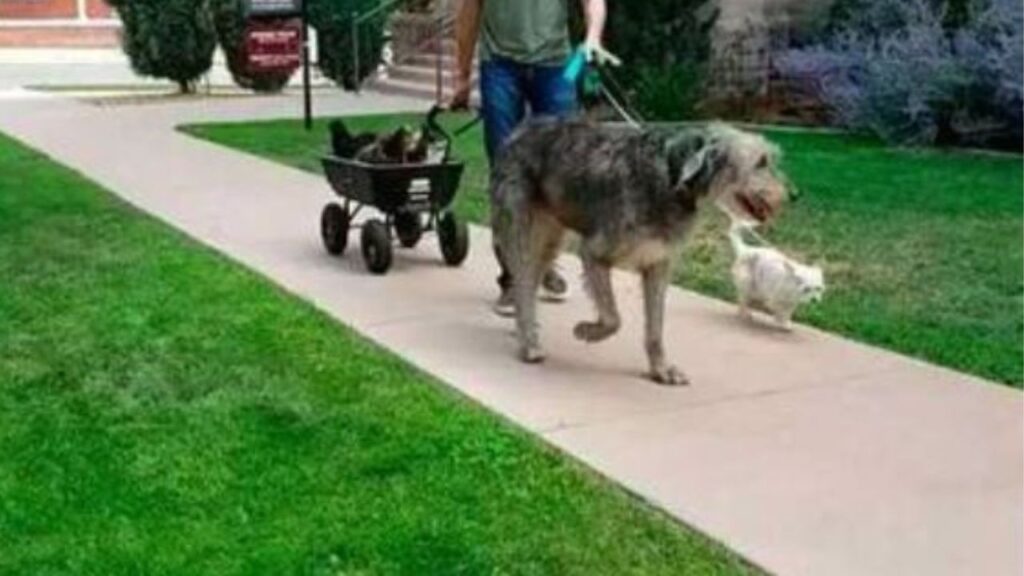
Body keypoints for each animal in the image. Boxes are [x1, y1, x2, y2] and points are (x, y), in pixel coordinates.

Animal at [491, 118, 786, 383]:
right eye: (760, 162)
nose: (792, 195)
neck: (670, 177)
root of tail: (519, 131)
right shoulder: (594, 253)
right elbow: (613, 319)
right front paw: (587, 331)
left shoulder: (658, 265)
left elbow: (655, 327)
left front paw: (661, 370)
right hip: (523, 233)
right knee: (522, 283)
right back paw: (529, 342)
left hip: (550, 240)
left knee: (530, 283)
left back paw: (527, 330)